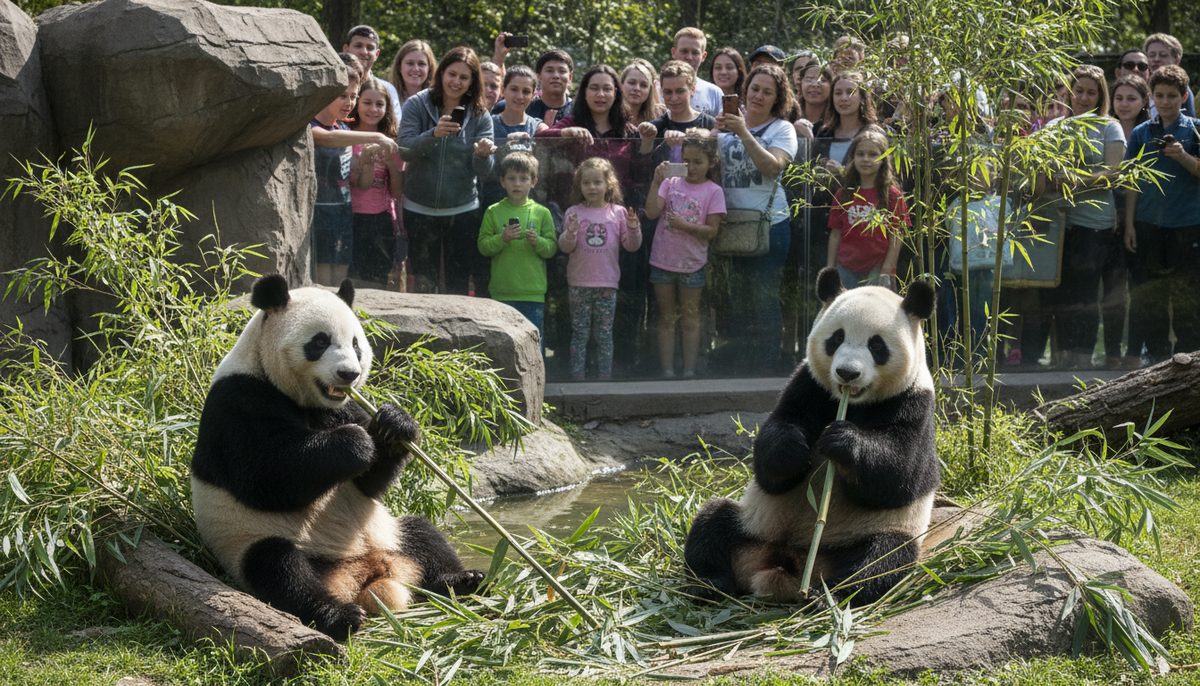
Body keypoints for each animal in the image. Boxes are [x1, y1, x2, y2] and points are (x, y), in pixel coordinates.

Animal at [191, 274, 485, 638]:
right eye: (320, 342)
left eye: (356, 344)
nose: (349, 374)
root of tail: (367, 574)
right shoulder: (239, 400)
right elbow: (264, 476)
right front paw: (355, 444)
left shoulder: (345, 407)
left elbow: (369, 485)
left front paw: (394, 424)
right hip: (257, 543)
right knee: (279, 569)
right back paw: (340, 615)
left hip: (390, 533)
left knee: (424, 534)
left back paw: (462, 579)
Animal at [684, 267, 939, 605]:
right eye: (836, 338)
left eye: (877, 346)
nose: (847, 373)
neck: (852, 404)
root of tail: (786, 565)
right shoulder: (808, 385)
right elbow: (772, 454)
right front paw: (793, 448)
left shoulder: (913, 402)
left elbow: (900, 475)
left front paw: (842, 442)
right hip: (754, 524)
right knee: (712, 522)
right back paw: (710, 583)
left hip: (868, 534)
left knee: (881, 559)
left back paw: (827, 594)